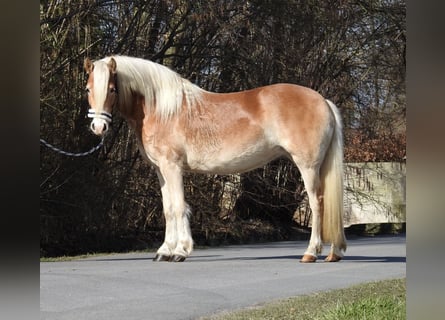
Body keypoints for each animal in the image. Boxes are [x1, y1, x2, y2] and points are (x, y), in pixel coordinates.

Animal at [84, 55, 346, 262]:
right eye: (87, 89)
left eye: (112, 89)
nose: (98, 127)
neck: (161, 109)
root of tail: (323, 101)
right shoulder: (161, 170)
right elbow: (168, 209)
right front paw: (164, 251)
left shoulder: (173, 167)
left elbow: (178, 207)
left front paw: (180, 251)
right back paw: (334, 253)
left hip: (308, 166)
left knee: (317, 204)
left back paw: (311, 252)